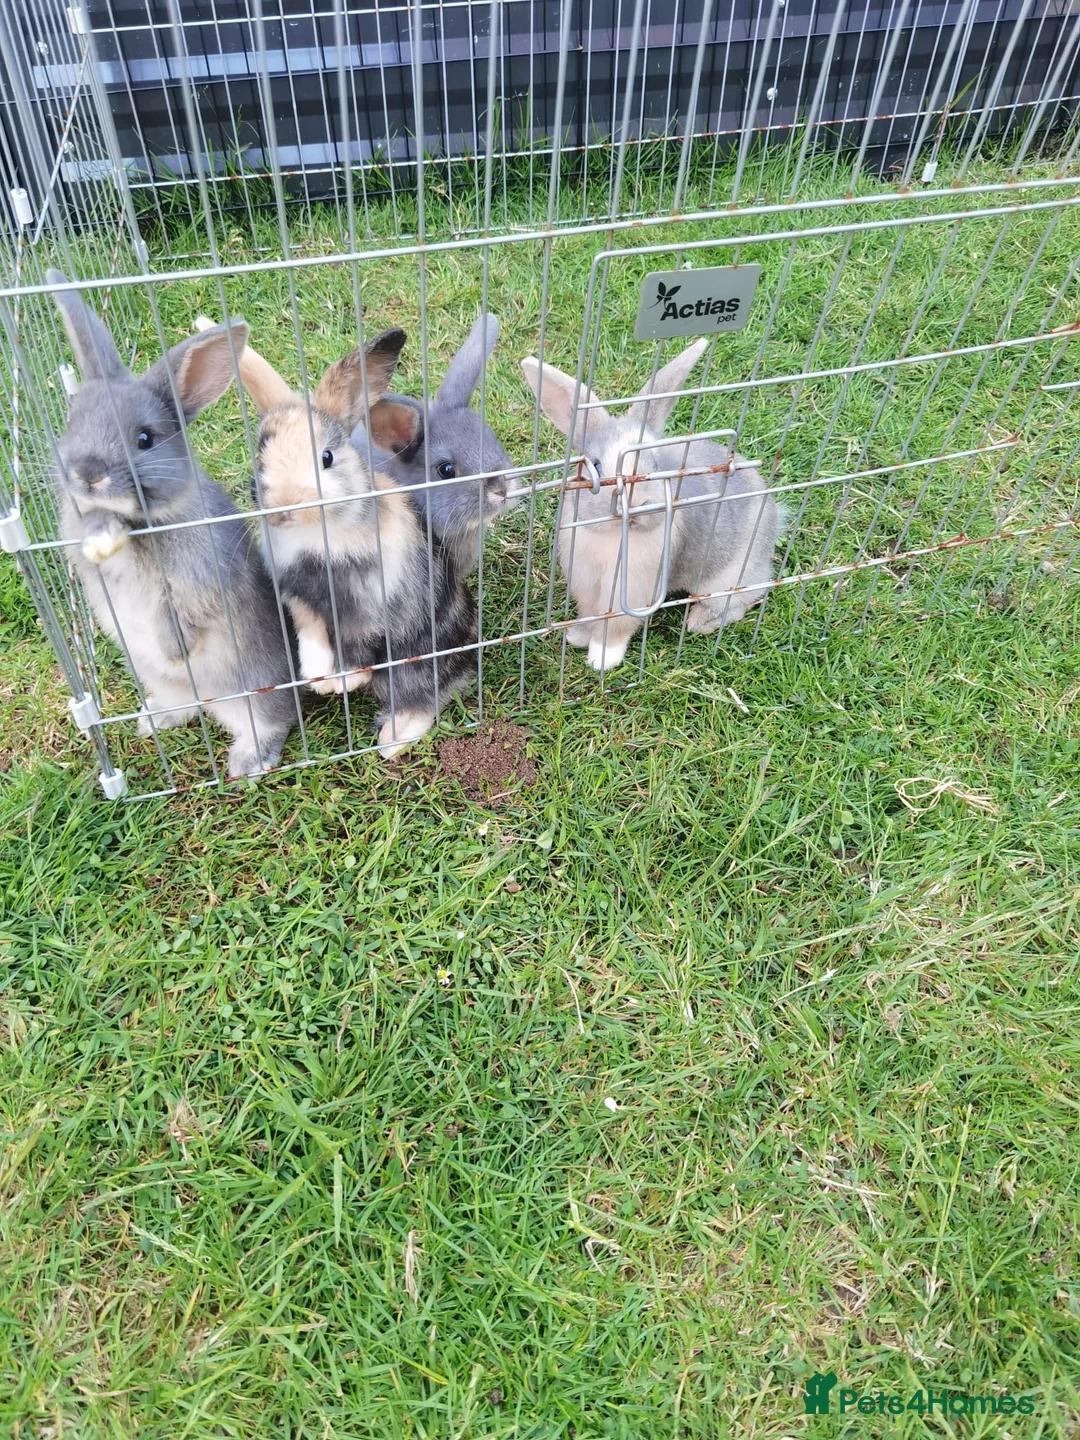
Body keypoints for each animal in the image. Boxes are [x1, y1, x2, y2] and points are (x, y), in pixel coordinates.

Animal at [48, 270, 300, 778]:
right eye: (71, 424)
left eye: (145, 439)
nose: (86, 473)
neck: (138, 525)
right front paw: (100, 534)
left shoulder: (197, 582)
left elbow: (179, 614)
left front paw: (175, 650)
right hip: (163, 683)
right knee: (186, 707)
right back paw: (153, 719)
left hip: (250, 690)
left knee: (271, 720)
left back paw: (247, 763)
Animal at [225, 325, 477, 757]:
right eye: (260, 457)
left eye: (326, 458)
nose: (283, 508)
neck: (317, 535)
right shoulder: (301, 600)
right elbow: (312, 638)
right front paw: (317, 678)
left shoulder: (370, 606)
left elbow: (359, 648)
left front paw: (341, 683)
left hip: (417, 661)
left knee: (424, 698)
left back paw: (392, 742)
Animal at [521, 338, 783, 673]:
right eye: (595, 466)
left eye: (656, 464)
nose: (637, 505)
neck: (614, 536)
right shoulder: (587, 584)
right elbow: (590, 614)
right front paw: (577, 637)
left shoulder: (633, 592)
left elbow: (615, 627)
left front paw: (602, 659)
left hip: (729, 577)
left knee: (744, 598)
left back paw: (699, 622)